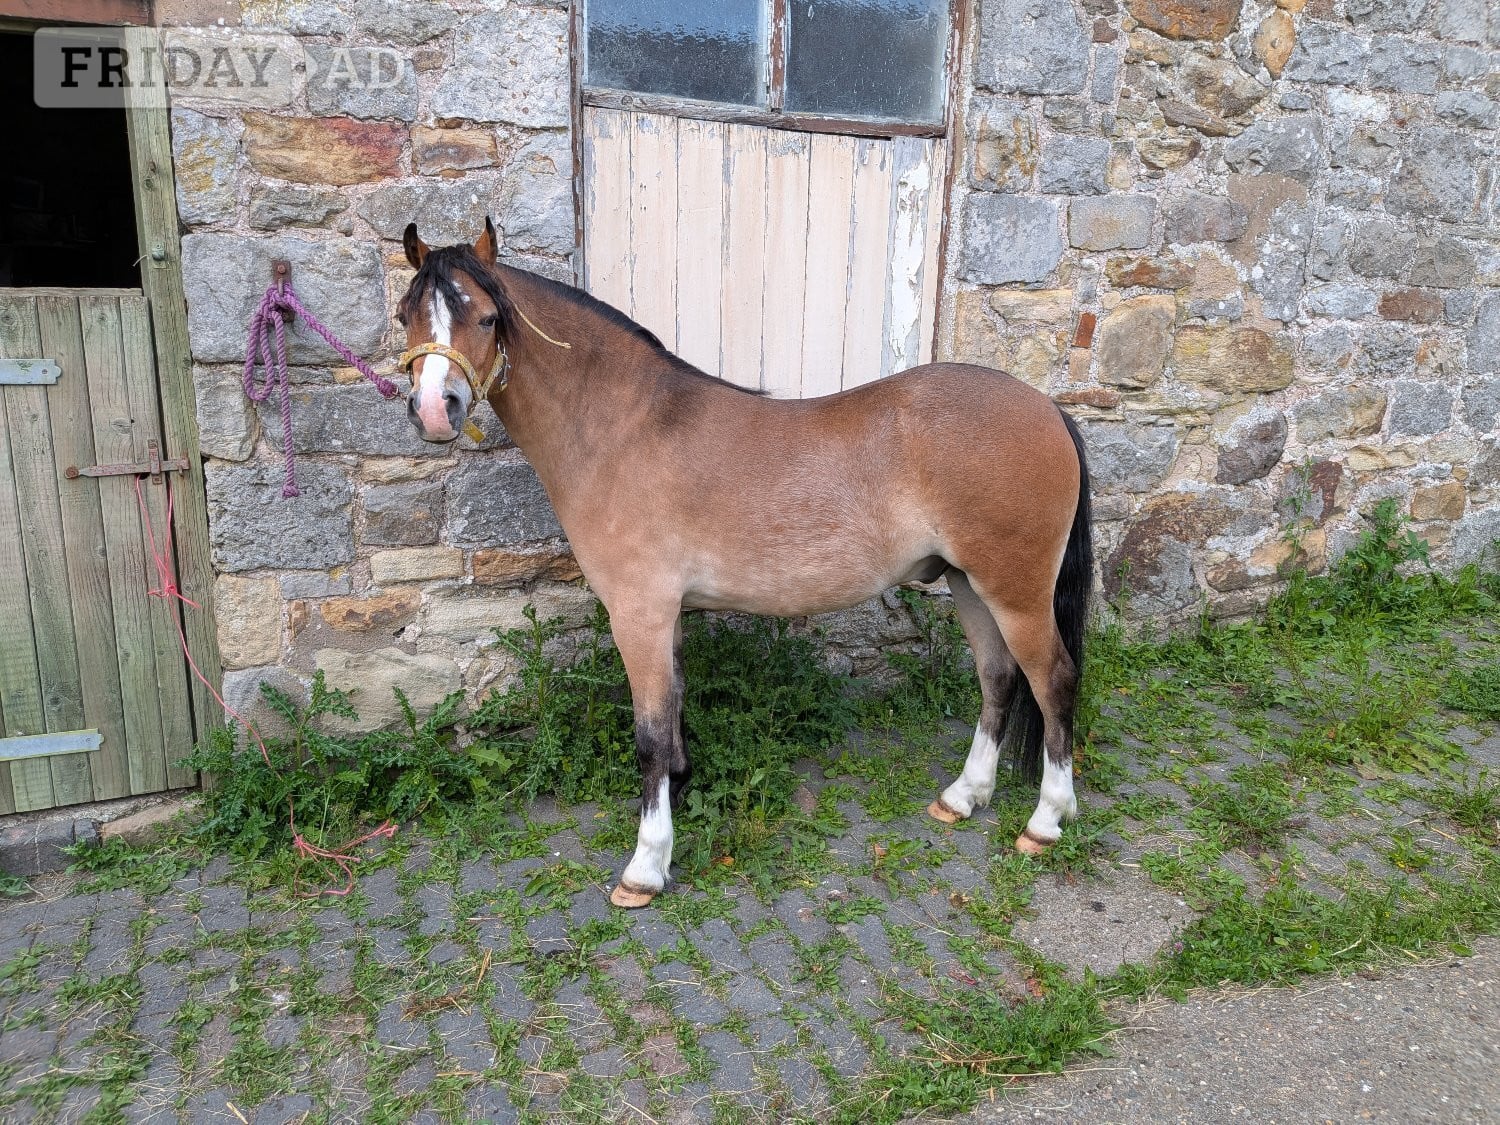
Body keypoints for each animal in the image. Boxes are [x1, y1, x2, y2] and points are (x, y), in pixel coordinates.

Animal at [394, 219, 1093, 908]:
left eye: (486, 318)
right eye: (406, 315)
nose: (434, 411)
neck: (623, 429)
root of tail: (1047, 408)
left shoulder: (639, 614)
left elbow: (649, 735)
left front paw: (646, 866)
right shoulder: (667, 615)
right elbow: (673, 712)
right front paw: (679, 790)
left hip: (1015, 592)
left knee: (1053, 679)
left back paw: (1046, 821)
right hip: (969, 584)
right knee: (998, 678)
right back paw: (964, 796)